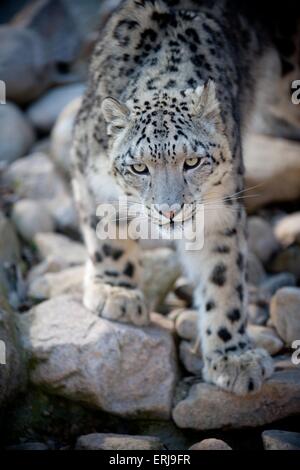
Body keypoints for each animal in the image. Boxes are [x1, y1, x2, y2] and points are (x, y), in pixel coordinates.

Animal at [72, 0, 300, 394]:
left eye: (192, 161)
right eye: (140, 168)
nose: (170, 211)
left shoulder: (221, 211)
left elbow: (223, 275)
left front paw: (233, 356)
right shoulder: (89, 173)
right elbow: (107, 234)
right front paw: (117, 292)